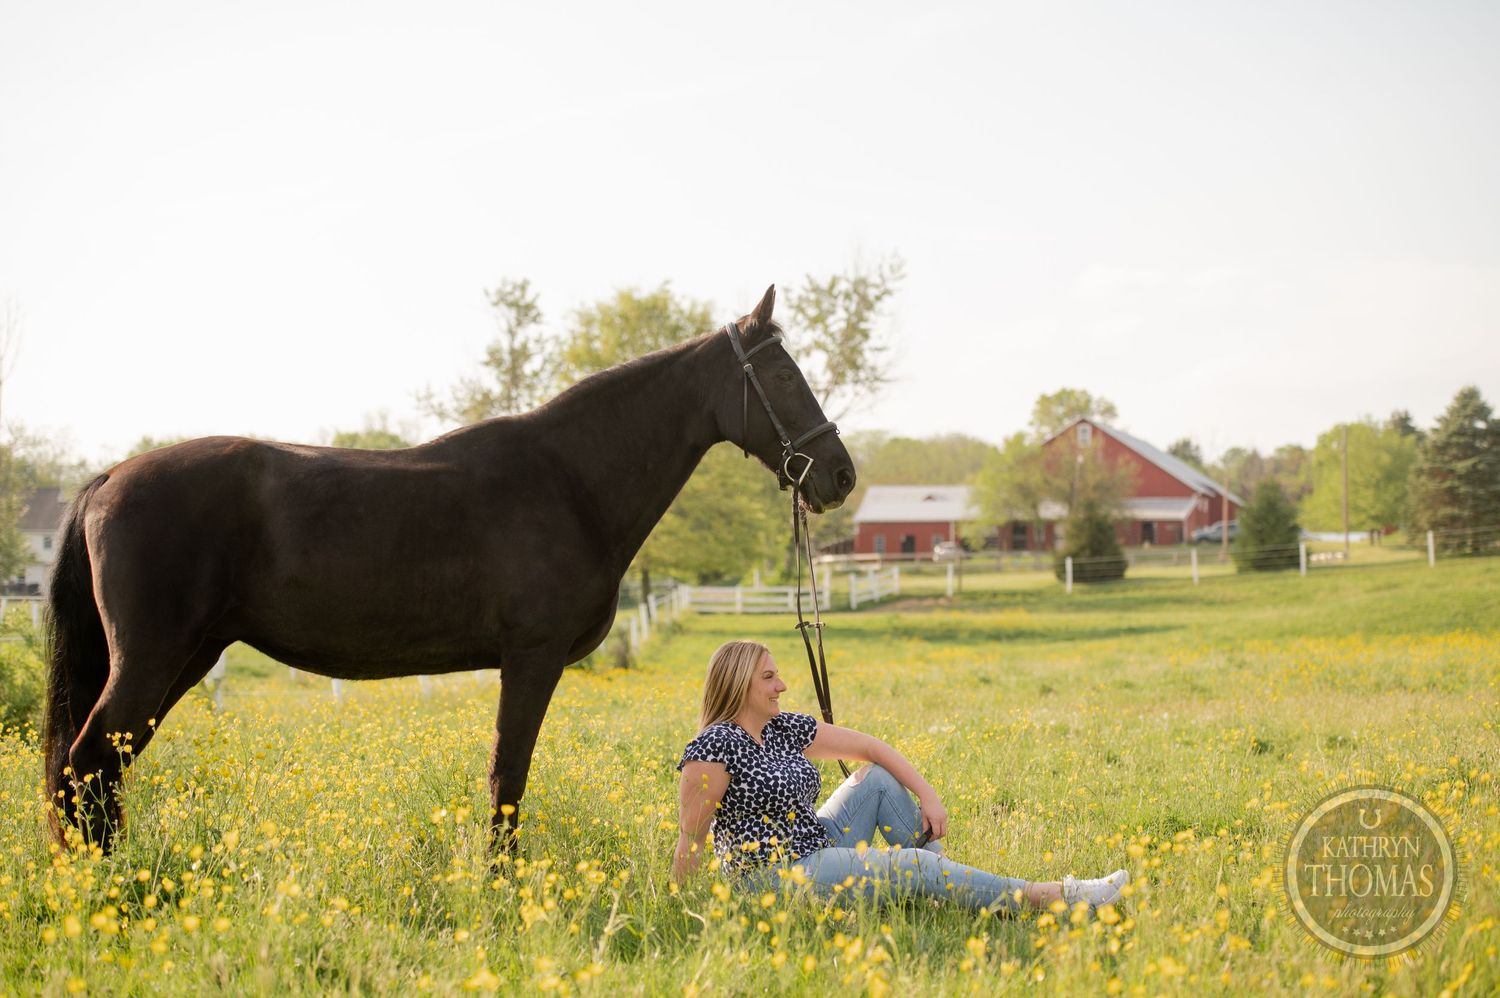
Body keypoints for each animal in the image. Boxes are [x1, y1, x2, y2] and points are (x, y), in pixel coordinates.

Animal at [44, 284, 856, 852]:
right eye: (784, 376)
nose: (840, 476)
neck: (569, 479)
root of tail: (107, 478)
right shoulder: (531, 659)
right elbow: (508, 774)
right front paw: (504, 886)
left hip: (186, 658)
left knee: (96, 766)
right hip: (154, 660)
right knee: (87, 761)